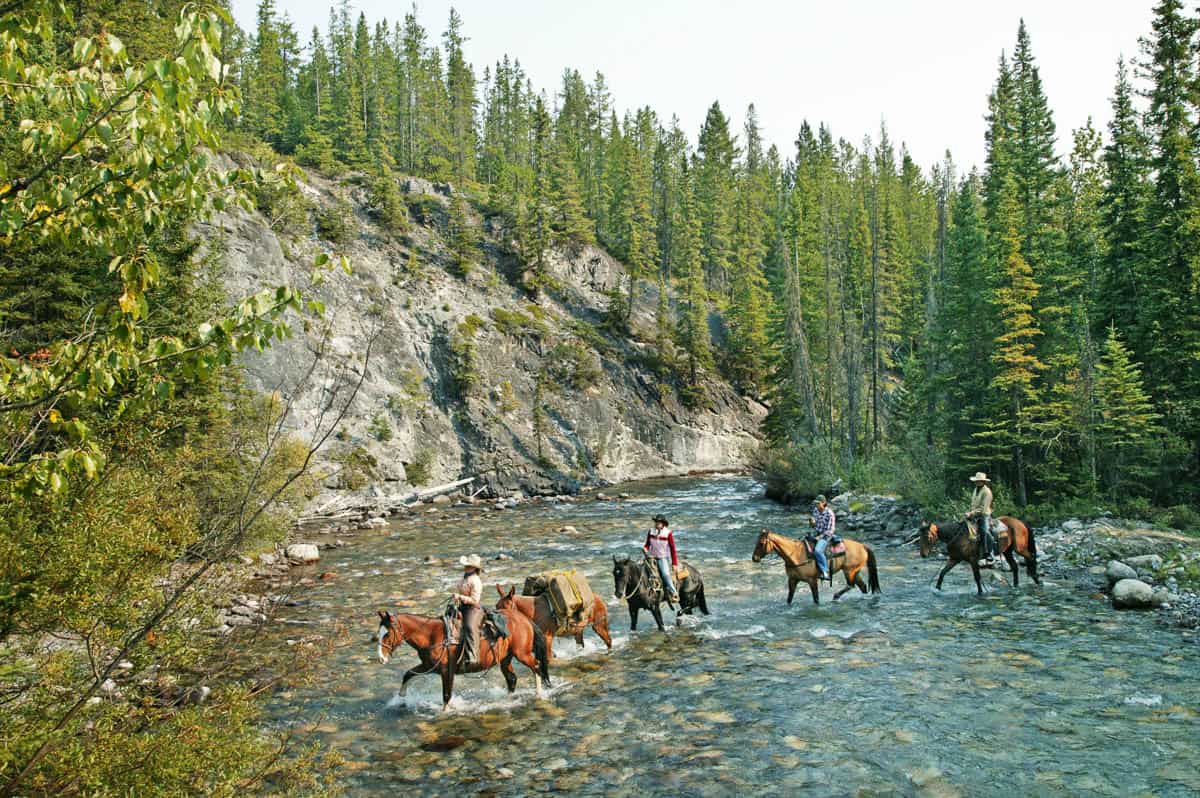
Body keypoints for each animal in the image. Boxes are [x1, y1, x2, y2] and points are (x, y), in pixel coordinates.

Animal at [372, 607, 549, 710]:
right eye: (378, 633)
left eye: (387, 634)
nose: (381, 658)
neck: (431, 635)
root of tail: (524, 619)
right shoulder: (428, 666)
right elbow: (408, 674)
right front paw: (400, 696)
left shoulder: (446, 670)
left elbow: (446, 694)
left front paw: (445, 712)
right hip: (506, 658)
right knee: (512, 678)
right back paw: (508, 700)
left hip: (522, 654)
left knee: (537, 666)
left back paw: (538, 694)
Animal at [748, 528, 883, 604]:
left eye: (761, 543)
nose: (754, 558)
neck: (795, 555)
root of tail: (863, 546)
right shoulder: (792, 580)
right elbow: (789, 598)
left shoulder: (812, 580)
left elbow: (816, 598)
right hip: (854, 571)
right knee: (862, 586)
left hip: (849, 571)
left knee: (851, 585)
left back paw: (835, 596)